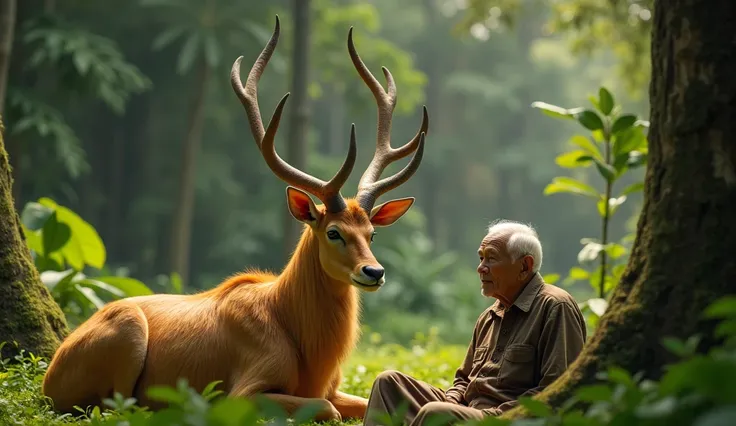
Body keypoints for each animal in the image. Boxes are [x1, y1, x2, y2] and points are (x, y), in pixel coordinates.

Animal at [40, 15, 428, 424]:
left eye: (372, 234)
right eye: (334, 232)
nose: (374, 272)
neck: (308, 353)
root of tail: (50, 371)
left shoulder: (333, 386)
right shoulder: (244, 387)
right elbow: (327, 410)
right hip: (124, 333)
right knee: (116, 405)